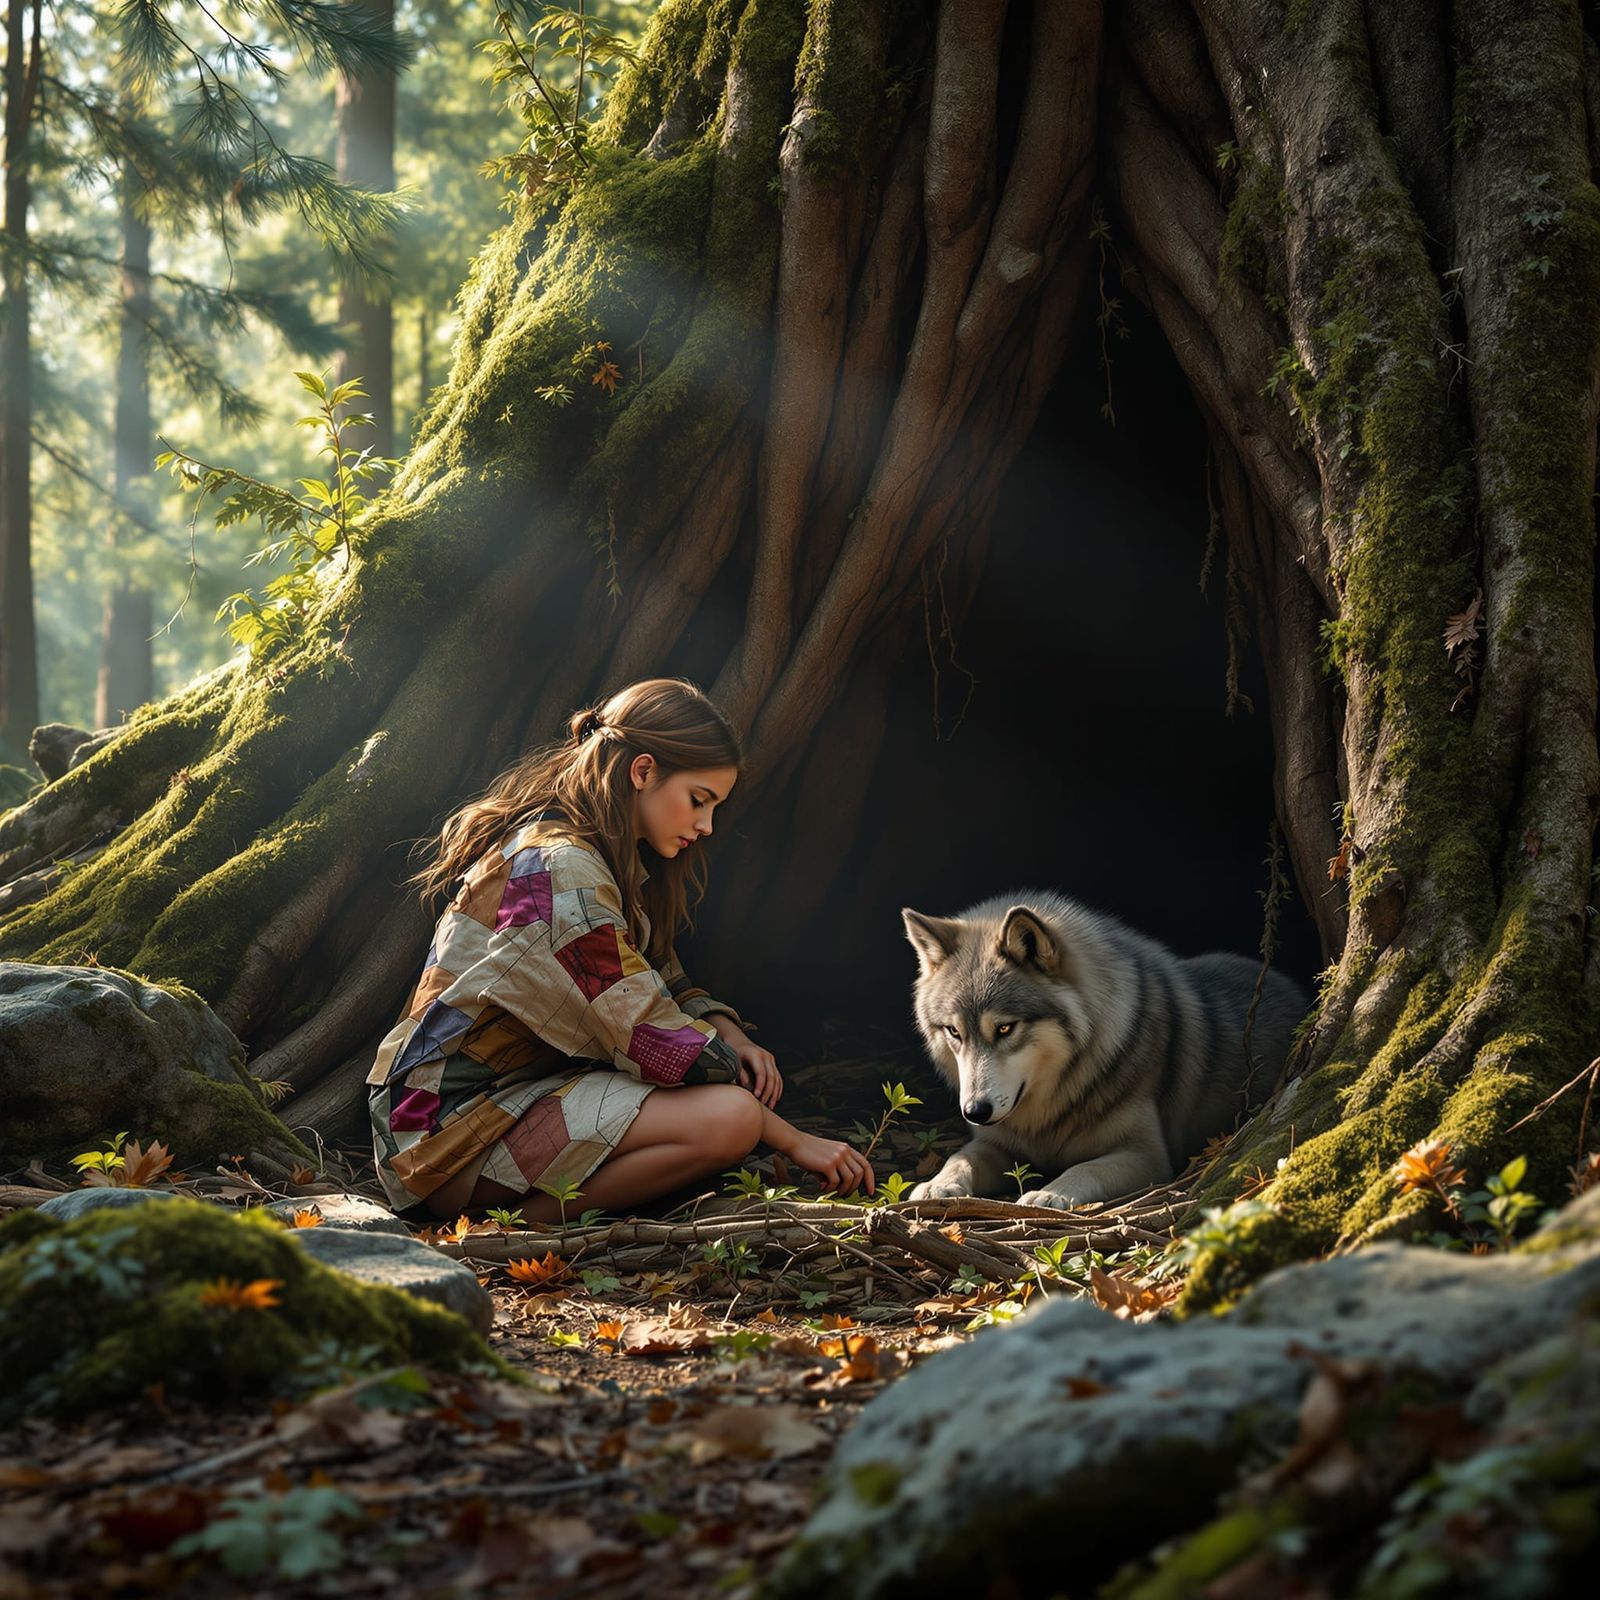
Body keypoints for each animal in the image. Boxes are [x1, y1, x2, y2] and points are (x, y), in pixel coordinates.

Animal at [901, 892, 1307, 1209]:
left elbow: (1085, 1167)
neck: (1052, 1110)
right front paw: (936, 1185)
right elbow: (960, 1158)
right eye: (955, 1032)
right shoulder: (995, 1144)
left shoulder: (1148, 1157)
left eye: (1004, 1028)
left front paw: (1050, 1193)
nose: (975, 1111)